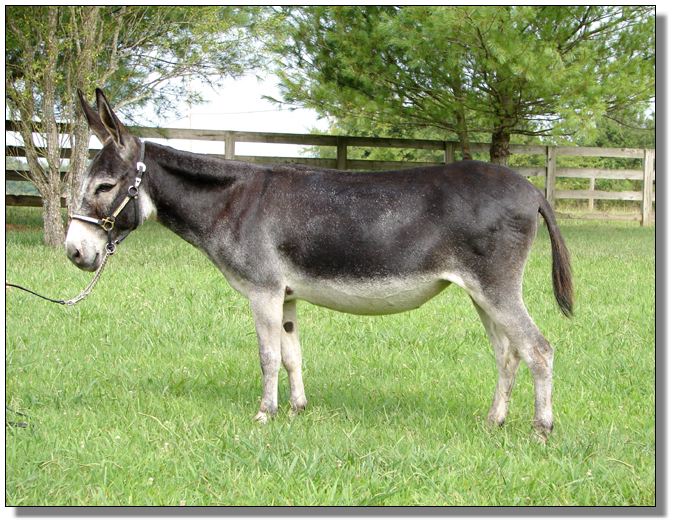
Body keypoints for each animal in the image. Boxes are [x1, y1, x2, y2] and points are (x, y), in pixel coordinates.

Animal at [66, 89, 573, 437]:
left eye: (105, 187)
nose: (74, 252)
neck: (233, 203)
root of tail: (531, 188)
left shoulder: (263, 291)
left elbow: (268, 355)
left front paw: (264, 415)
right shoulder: (286, 296)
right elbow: (292, 355)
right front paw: (296, 410)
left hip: (496, 287)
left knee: (539, 350)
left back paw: (541, 430)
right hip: (481, 294)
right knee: (508, 353)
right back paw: (494, 422)